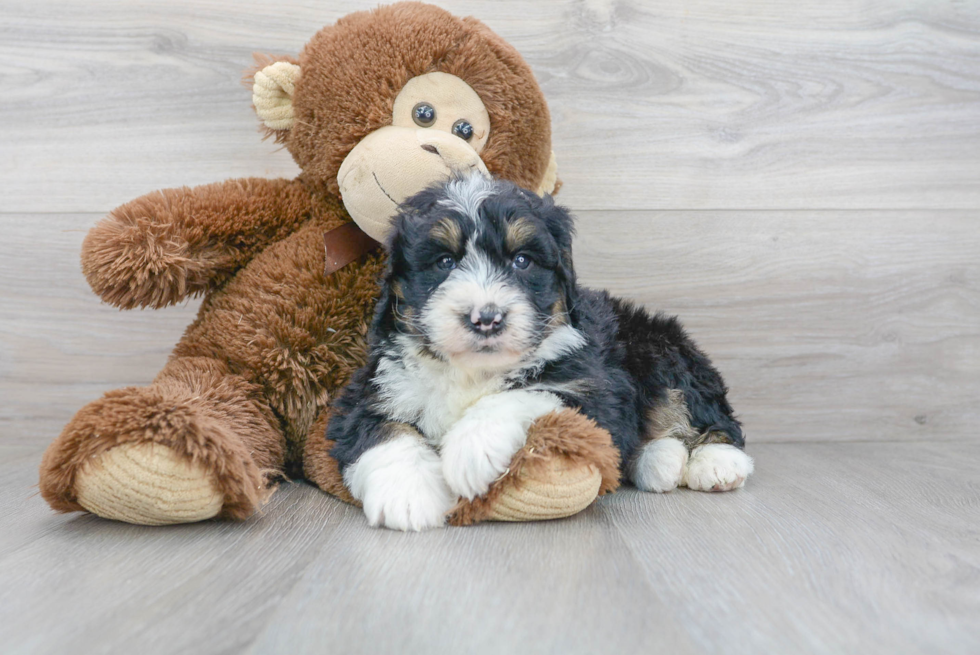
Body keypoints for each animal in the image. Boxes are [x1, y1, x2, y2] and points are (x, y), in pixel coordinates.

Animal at [326, 176, 756, 532]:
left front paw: (471, 449)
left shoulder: (592, 390)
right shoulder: (368, 391)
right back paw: (660, 460)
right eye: (444, 261)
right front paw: (408, 495)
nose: (486, 318)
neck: (473, 371)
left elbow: (528, 392)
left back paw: (717, 462)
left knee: (708, 414)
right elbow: (385, 432)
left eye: (522, 260)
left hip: (662, 350)